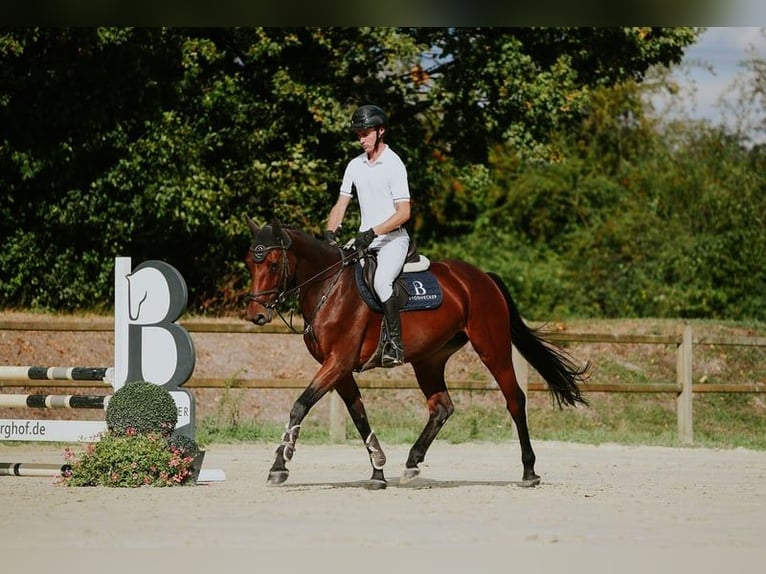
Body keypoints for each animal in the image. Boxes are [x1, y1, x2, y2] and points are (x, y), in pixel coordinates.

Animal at [245, 218, 590, 489]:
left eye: (272, 264)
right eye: (250, 263)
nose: (256, 314)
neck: (329, 288)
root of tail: (481, 277)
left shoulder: (338, 362)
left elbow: (300, 405)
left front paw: (279, 464)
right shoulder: (339, 369)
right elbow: (359, 416)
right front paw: (378, 470)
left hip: (492, 347)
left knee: (514, 398)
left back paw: (529, 470)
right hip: (429, 359)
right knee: (441, 408)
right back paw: (412, 462)